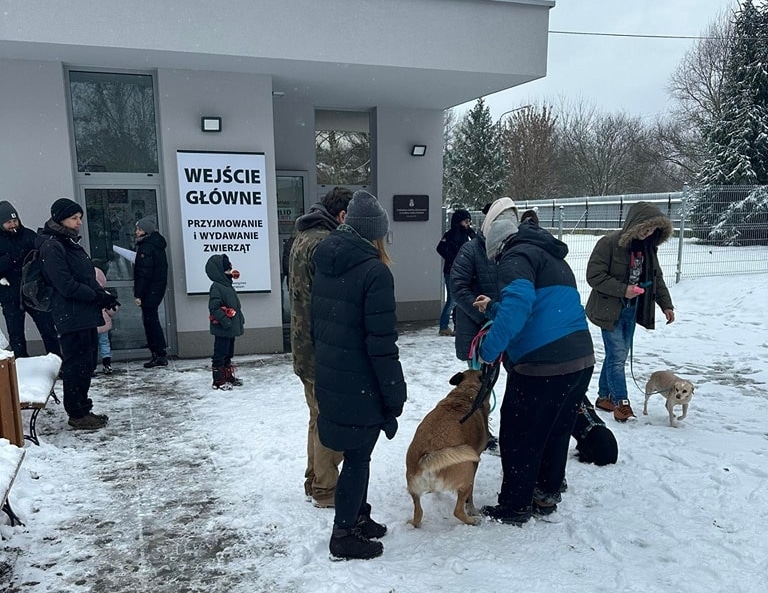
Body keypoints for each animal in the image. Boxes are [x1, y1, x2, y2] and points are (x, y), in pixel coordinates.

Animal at [404, 370, 488, 528]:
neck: (466, 391)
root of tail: (425, 459)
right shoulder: (475, 463)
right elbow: (470, 496)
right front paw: (472, 509)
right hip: (467, 470)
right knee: (457, 511)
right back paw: (471, 520)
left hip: (413, 489)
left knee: (418, 514)